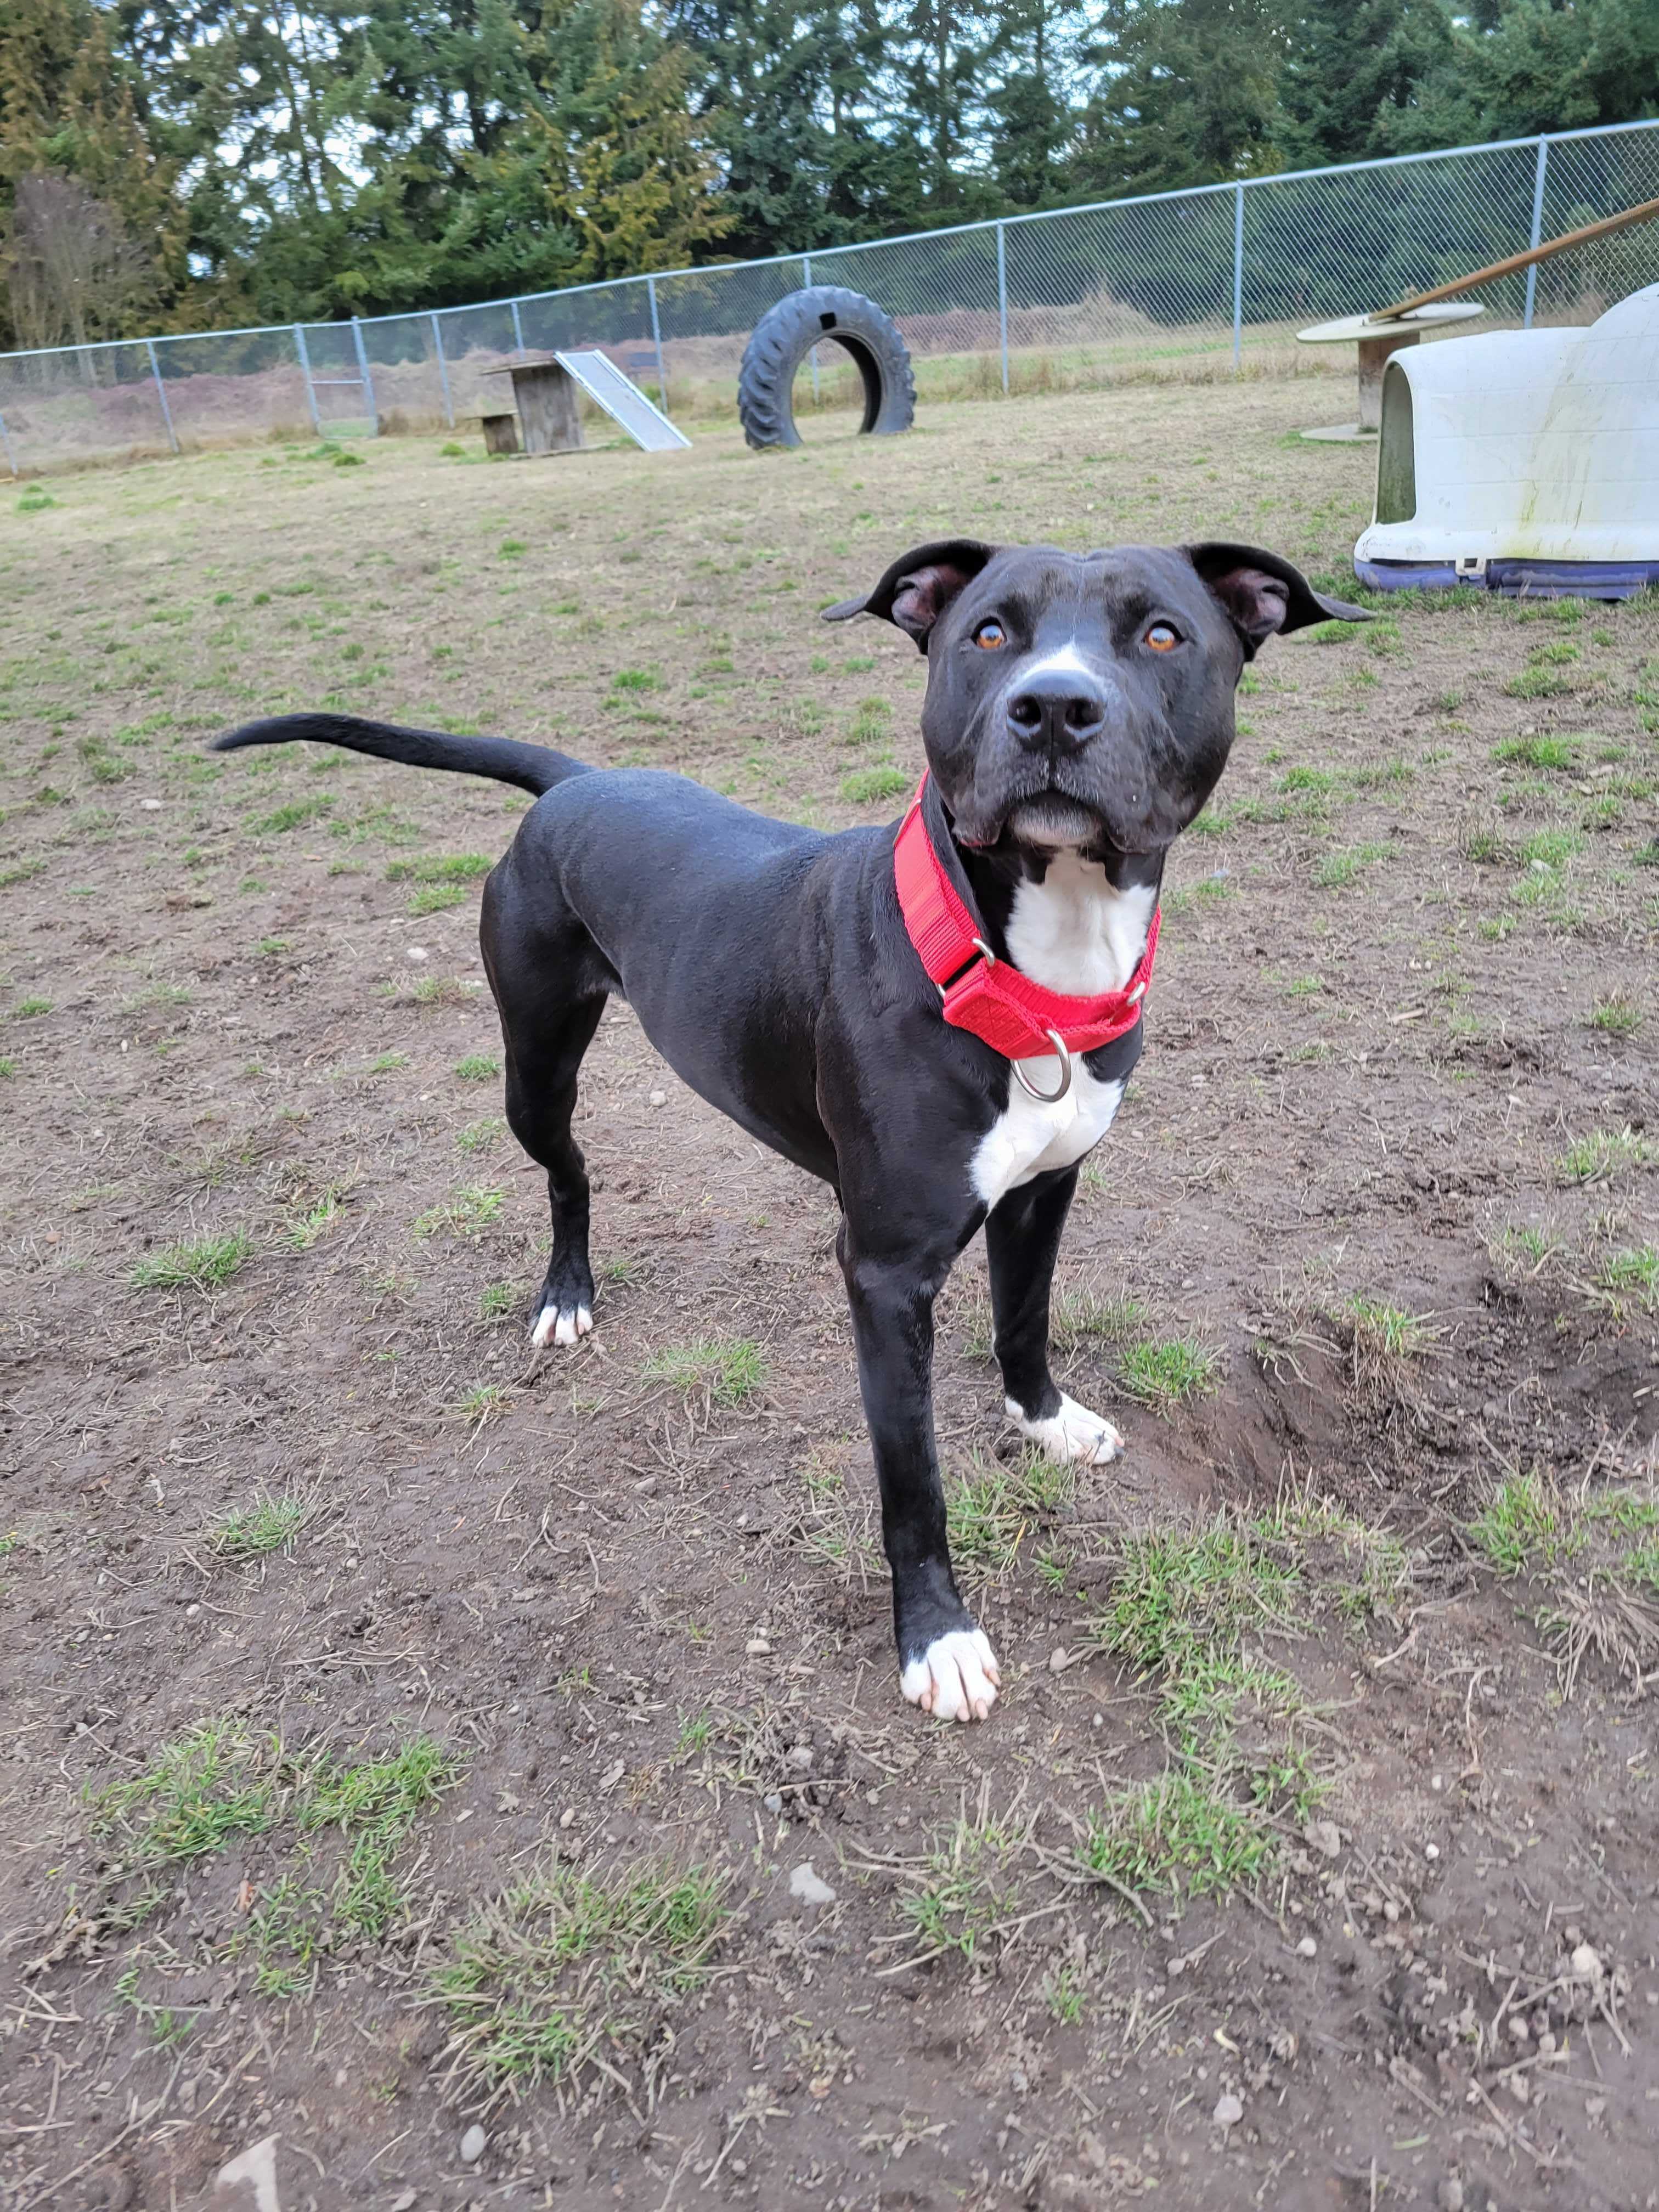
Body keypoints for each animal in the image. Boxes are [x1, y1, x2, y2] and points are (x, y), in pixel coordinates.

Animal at [215, 539, 1371, 1725]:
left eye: (1162, 634)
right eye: (988, 633)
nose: (1053, 706)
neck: (1030, 974)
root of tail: (578, 781)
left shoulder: (1045, 1191)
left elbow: (1024, 1321)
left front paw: (1045, 1422)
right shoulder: (886, 1274)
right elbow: (912, 1480)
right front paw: (937, 1638)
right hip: (533, 1065)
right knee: (568, 1173)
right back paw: (567, 1293)